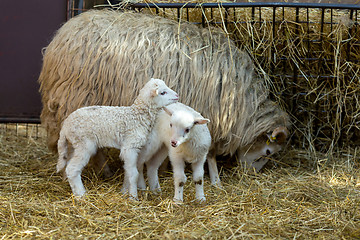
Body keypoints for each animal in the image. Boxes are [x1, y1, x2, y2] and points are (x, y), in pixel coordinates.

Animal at [39, 9, 292, 180]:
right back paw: (103, 170)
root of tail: (64, 33)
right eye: (267, 151)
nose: (250, 175)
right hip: (76, 102)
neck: (242, 104)